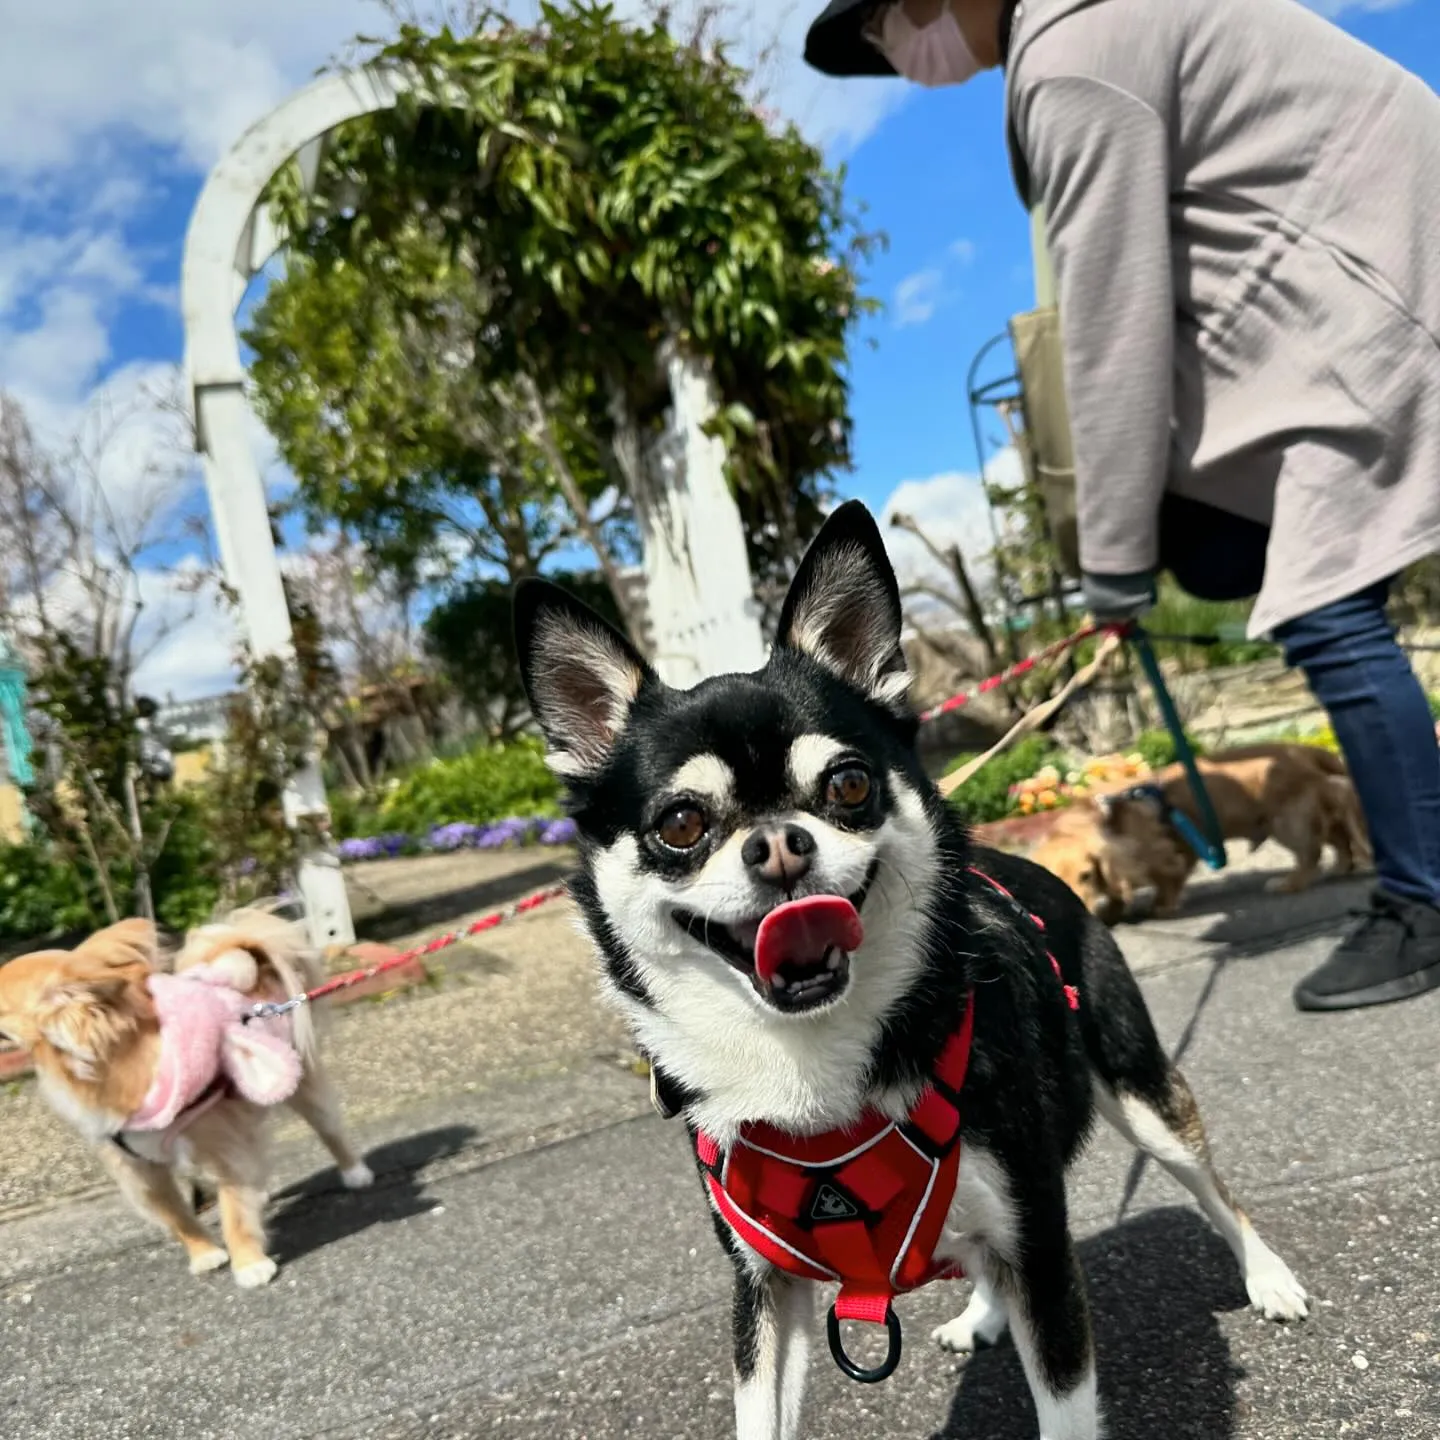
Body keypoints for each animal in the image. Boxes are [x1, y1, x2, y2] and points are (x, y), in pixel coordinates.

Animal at [1, 904, 371, 1290]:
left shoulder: (223, 1149)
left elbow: (234, 1213)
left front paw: (249, 1264)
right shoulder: (139, 1170)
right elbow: (177, 1216)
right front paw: (205, 1253)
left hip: (304, 1088)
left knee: (329, 1129)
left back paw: (355, 1172)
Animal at [1036, 743, 1370, 921]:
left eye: (1086, 876)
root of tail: (1302, 750)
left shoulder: (1166, 853)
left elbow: (1168, 880)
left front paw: (1162, 905)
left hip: (1288, 822)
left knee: (1311, 853)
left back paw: (1290, 882)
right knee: (1339, 839)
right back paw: (1341, 867)